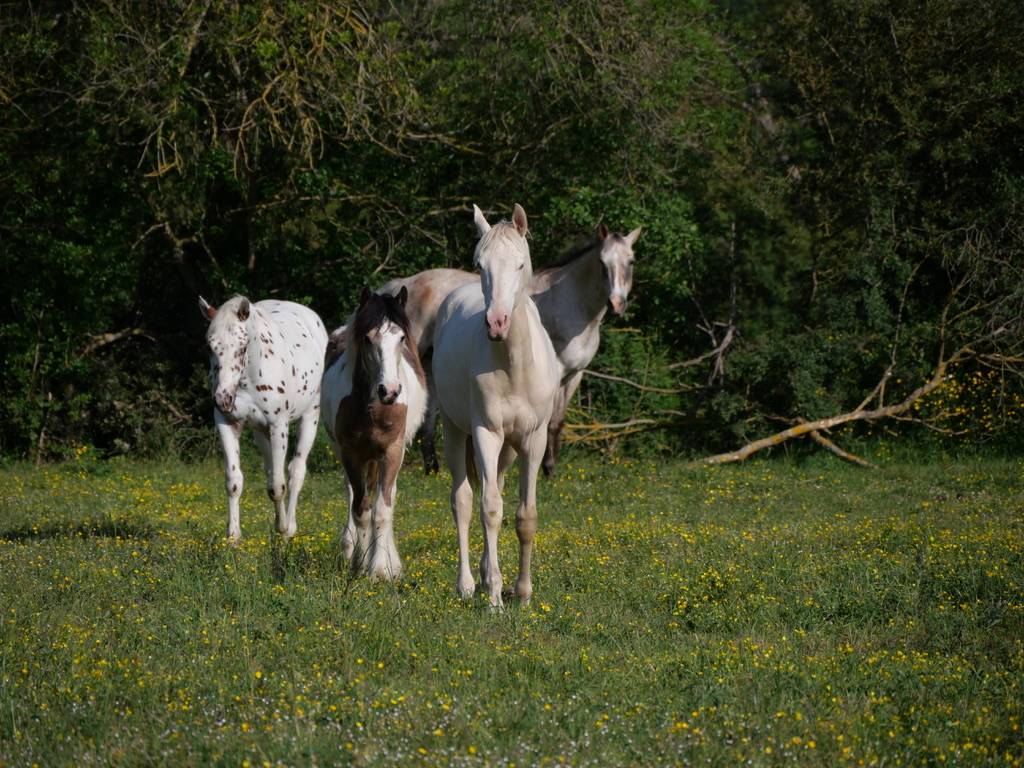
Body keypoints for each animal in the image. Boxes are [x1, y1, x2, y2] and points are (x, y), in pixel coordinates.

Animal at [198, 295, 328, 542]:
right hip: (260, 432)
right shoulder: (227, 423)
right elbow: (234, 481)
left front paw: (283, 529)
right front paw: (233, 537)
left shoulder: (279, 426)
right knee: (270, 470)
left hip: (310, 416)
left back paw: (290, 527)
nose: (223, 399)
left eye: (242, 346)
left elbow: (278, 486)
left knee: (295, 472)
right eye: (209, 347)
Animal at [320, 287, 428, 580]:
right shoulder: (351, 454)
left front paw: (380, 569)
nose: (389, 391)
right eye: (367, 339)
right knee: (354, 495)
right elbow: (361, 510)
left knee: (386, 497)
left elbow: (382, 510)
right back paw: (351, 549)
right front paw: (359, 564)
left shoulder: (392, 452)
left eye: (400, 338)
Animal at [380, 222, 641, 475]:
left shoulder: (575, 374)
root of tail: (404, 283)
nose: (617, 304)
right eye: (602, 263)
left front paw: (550, 469)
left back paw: (432, 467)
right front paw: (547, 469)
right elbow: (549, 422)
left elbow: (557, 421)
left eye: (630, 262)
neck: (568, 302)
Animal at [432, 204, 560, 608]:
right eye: (480, 264)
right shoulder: (485, 433)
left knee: (498, 489)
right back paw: (468, 584)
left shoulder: (534, 439)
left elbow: (524, 516)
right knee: (463, 501)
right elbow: (488, 509)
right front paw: (494, 601)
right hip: (455, 431)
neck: (514, 364)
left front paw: (522, 593)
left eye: (519, 264)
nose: (497, 323)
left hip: (508, 448)